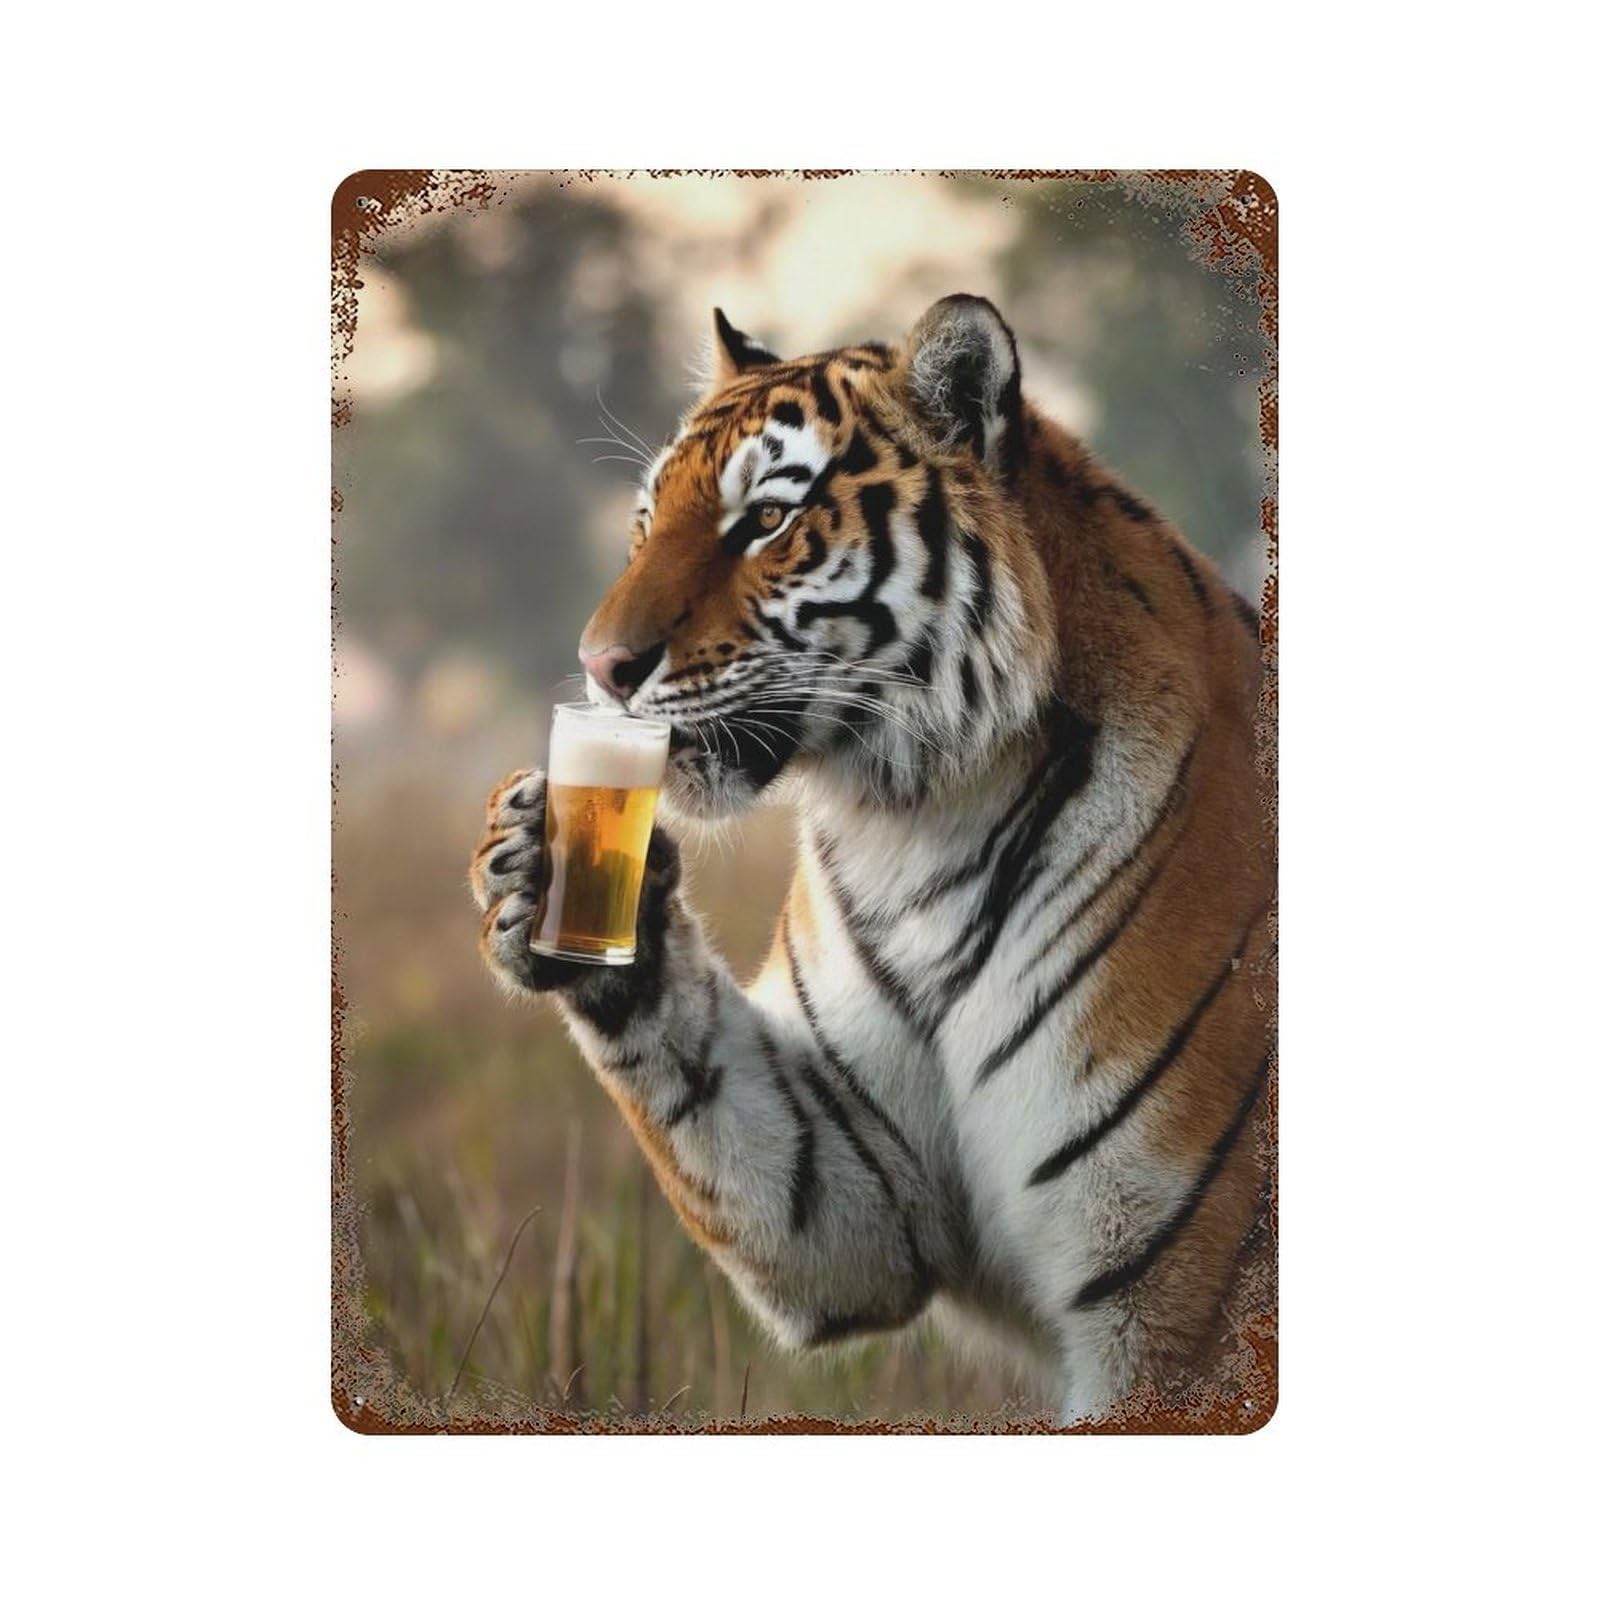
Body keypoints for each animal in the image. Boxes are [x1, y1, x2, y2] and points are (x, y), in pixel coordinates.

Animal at [470, 295, 1276, 1425]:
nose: (600, 670)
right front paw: (532, 870)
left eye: (766, 521)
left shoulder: (1173, 1303)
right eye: (644, 522)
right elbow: (704, 1092)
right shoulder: (858, 1199)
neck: (920, 827)